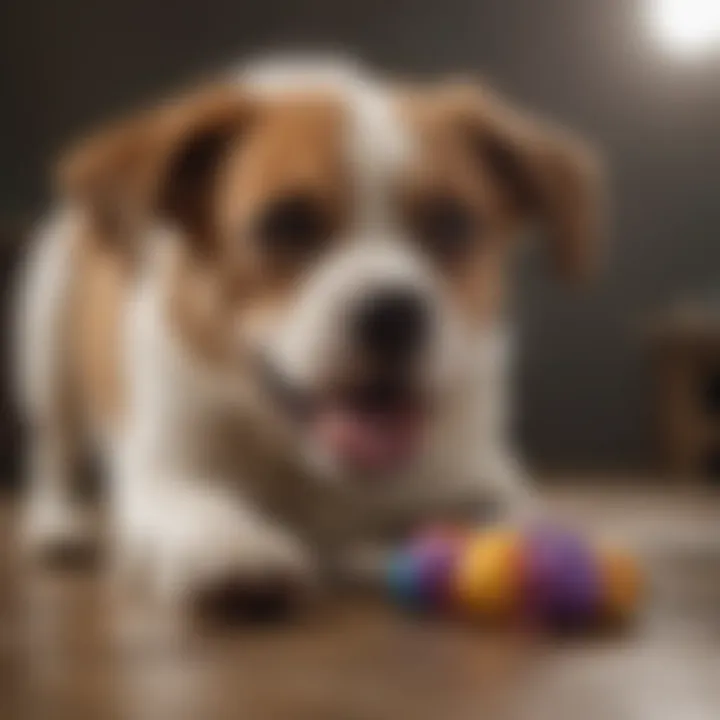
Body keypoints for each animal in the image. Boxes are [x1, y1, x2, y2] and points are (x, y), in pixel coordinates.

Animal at [15, 57, 600, 608]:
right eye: (287, 222)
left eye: (452, 222)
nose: (393, 314)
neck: (310, 460)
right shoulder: (164, 468)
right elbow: (196, 501)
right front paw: (232, 542)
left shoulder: (485, 474)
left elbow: (515, 513)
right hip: (46, 339)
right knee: (54, 446)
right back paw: (58, 523)